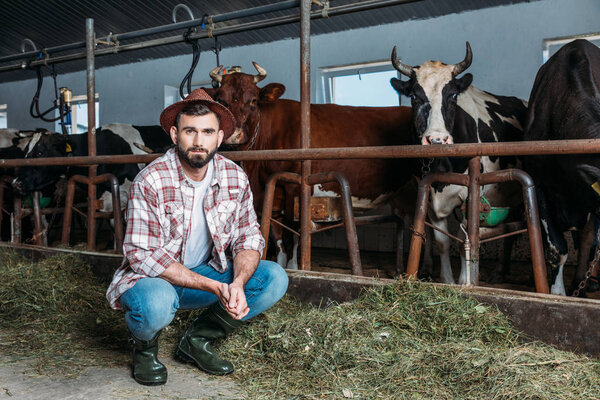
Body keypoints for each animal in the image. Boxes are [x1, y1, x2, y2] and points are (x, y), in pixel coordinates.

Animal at [204, 61, 420, 268]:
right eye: (221, 100)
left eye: (254, 100)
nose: (234, 135)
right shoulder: (270, 191)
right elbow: (277, 231)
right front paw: (281, 262)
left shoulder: (295, 185)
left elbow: (295, 228)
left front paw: (295, 265)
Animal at [390, 42, 524, 286]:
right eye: (414, 96)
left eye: (452, 95)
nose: (436, 139)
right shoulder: (432, 198)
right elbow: (443, 243)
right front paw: (448, 280)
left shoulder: (470, 195)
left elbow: (465, 240)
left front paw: (465, 281)